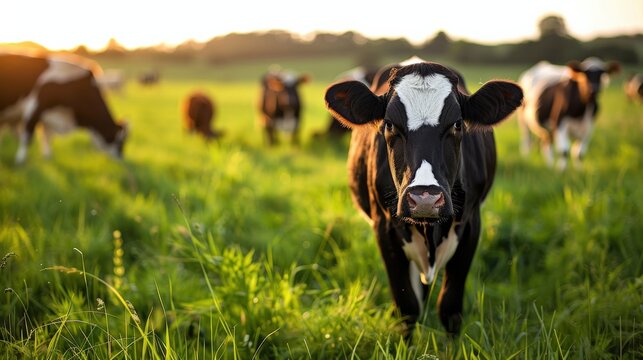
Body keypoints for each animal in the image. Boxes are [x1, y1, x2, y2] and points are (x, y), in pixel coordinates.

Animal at [0, 51, 128, 163]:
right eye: (120, 142)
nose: (121, 157)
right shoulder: (34, 107)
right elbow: (27, 137)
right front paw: (20, 160)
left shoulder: (49, 115)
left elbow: (48, 137)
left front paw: (48, 157)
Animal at [324, 59, 524, 334]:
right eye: (389, 124)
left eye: (457, 124)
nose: (425, 199)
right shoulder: (384, 228)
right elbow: (407, 307)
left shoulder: (471, 224)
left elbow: (450, 308)